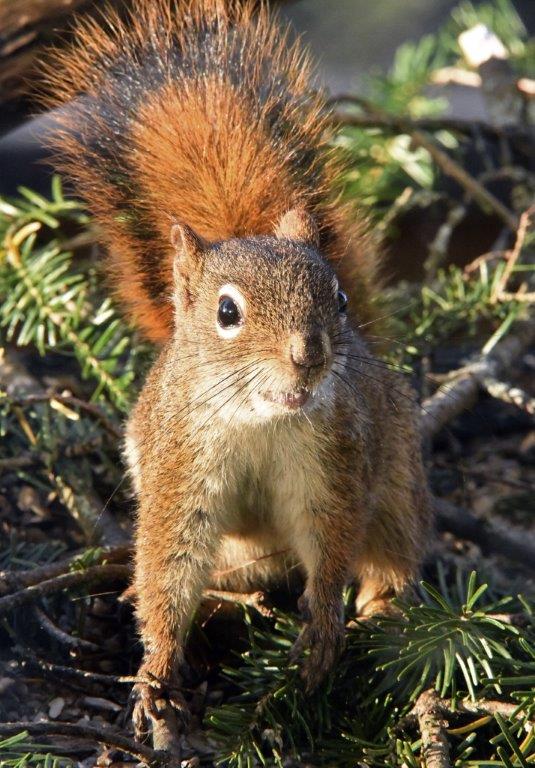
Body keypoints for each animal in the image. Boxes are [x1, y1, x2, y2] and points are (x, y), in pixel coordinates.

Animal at [42, 0, 432, 752]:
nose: (309, 354)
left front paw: (323, 626)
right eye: (227, 313)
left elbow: (331, 543)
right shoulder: (179, 469)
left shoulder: (336, 463)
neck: (261, 421)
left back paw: (382, 610)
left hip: (396, 477)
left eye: (339, 299)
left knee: (389, 549)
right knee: (236, 569)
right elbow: (170, 562)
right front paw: (157, 671)